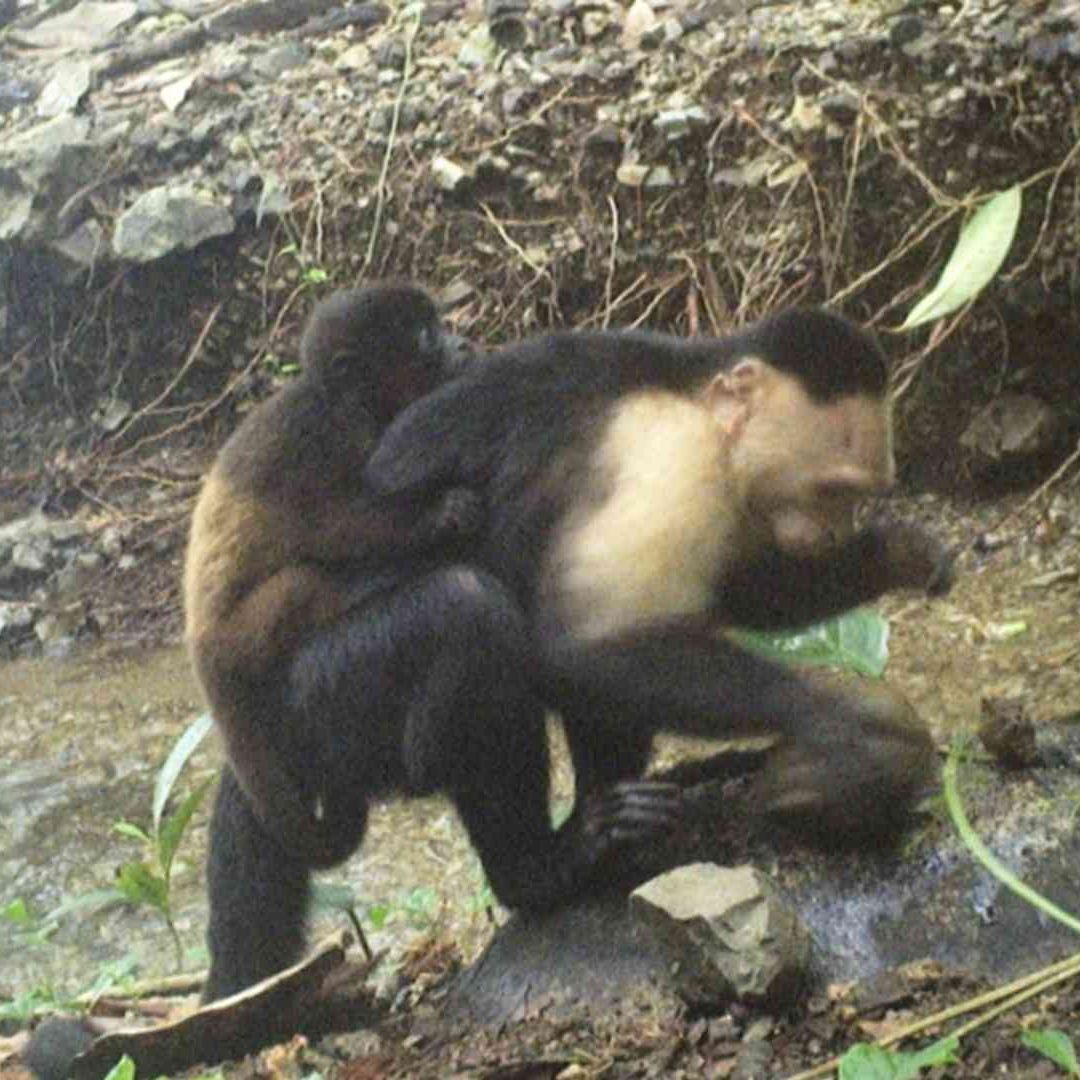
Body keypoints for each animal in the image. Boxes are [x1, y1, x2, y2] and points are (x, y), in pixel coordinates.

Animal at [185, 283, 480, 871]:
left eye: (438, 325)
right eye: (425, 336)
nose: (461, 341)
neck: (348, 400)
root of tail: (201, 651)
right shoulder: (330, 439)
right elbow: (332, 527)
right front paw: (442, 512)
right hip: (243, 635)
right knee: (304, 577)